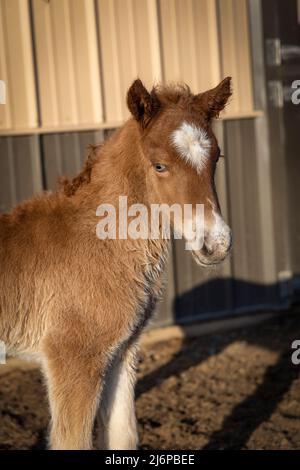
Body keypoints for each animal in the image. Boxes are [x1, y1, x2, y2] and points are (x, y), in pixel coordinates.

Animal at [0, 76, 232, 448]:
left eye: (216, 158)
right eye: (159, 165)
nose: (215, 244)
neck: (100, 243)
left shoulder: (122, 350)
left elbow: (123, 436)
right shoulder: (73, 357)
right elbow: (73, 441)